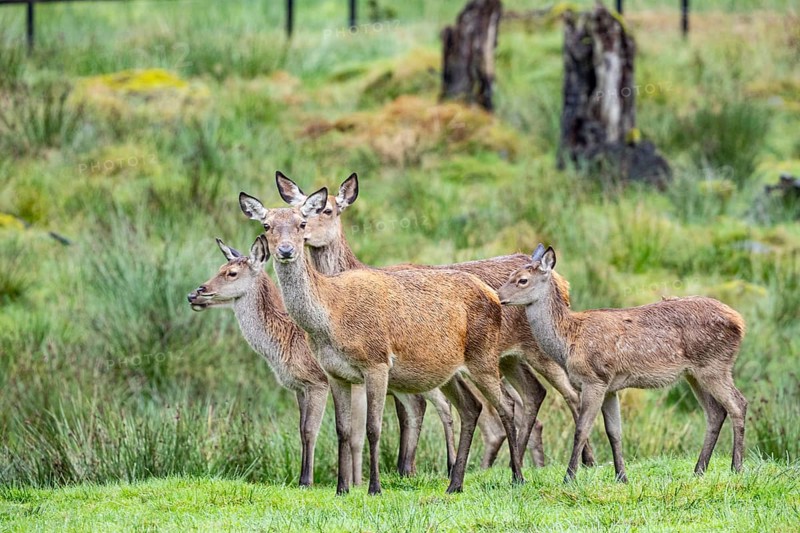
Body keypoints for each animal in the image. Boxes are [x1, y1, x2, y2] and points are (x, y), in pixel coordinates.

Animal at [187, 235, 457, 486]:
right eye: (220, 267)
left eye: (231, 273)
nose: (194, 294)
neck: (284, 345)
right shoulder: (299, 386)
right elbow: (303, 429)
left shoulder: (319, 382)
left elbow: (316, 430)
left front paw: (310, 480)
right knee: (419, 406)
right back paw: (409, 470)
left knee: (442, 405)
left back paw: (448, 466)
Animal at [239, 184, 525, 495]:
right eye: (266, 225)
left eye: (301, 223)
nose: (286, 250)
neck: (331, 319)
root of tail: (494, 296)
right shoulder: (334, 373)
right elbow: (342, 430)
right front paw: (342, 488)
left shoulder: (375, 363)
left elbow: (373, 428)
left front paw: (374, 487)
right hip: (449, 371)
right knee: (472, 408)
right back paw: (455, 484)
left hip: (484, 356)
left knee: (507, 407)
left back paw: (517, 477)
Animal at [273, 171, 596, 469]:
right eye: (293, 207)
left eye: (326, 210)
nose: (294, 242)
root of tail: (562, 281)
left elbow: (409, 412)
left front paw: (406, 469)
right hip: (508, 357)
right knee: (533, 393)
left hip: (539, 348)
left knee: (570, 393)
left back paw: (586, 460)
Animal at [498, 244, 748, 483]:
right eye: (510, 274)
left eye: (522, 280)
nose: (498, 296)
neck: (568, 341)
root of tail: (740, 321)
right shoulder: (611, 387)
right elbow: (614, 432)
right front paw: (621, 476)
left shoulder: (594, 379)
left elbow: (582, 429)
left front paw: (569, 477)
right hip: (694, 373)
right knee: (715, 412)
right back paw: (699, 470)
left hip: (715, 365)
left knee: (738, 404)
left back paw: (736, 468)